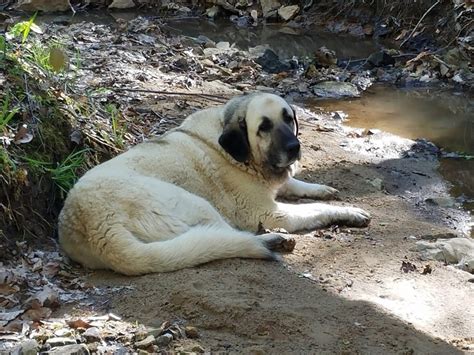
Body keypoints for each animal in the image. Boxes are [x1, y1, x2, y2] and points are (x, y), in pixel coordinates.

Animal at [58, 92, 370, 276]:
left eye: (288, 118)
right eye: (264, 127)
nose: (294, 147)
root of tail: (96, 228)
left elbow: (297, 184)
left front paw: (322, 189)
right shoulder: (269, 212)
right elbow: (316, 209)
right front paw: (350, 211)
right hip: (196, 203)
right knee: (228, 237)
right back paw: (271, 240)